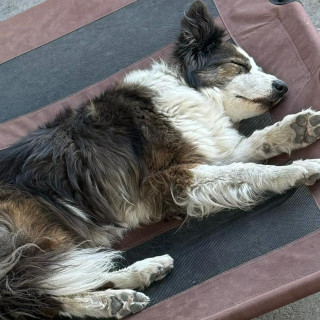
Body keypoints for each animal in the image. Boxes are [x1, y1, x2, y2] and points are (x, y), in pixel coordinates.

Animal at [0, 1, 320, 318]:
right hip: (34, 228)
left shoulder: (208, 148)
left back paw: (135, 280)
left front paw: (297, 129)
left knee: (49, 287)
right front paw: (297, 170)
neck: (192, 90)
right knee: (31, 287)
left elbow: (254, 145)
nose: (282, 86)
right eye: (239, 65)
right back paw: (116, 296)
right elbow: (246, 170)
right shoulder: (166, 179)